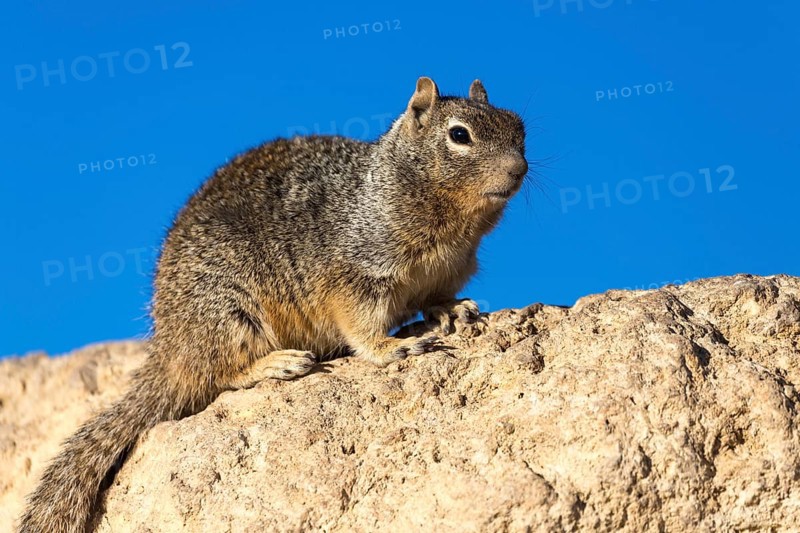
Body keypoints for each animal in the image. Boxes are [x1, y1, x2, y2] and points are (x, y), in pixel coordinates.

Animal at [18, 77, 528, 533]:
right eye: (459, 135)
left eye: (519, 128)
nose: (520, 170)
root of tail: (167, 348)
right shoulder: (356, 274)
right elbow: (361, 327)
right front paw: (392, 348)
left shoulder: (447, 271)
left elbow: (436, 298)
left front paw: (453, 310)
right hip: (229, 311)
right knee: (216, 375)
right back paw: (277, 364)